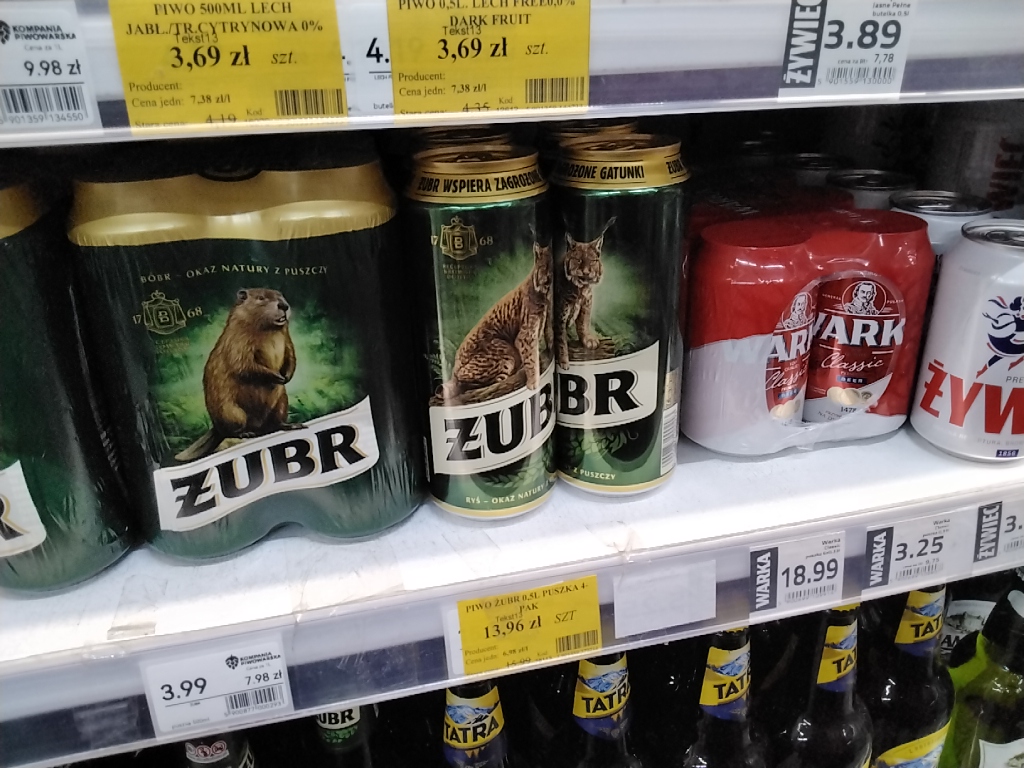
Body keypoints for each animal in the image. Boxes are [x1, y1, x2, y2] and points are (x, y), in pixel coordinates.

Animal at [174, 288, 300, 462]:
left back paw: (291, 425)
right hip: (232, 412)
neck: (268, 330)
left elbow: (291, 355)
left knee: (276, 422)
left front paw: (286, 376)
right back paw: (246, 433)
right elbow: (242, 364)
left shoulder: (286, 338)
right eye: (261, 298)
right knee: (232, 430)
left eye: (281, 295)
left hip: (281, 402)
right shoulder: (236, 341)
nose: (284, 306)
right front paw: (277, 376)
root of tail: (215, 429)